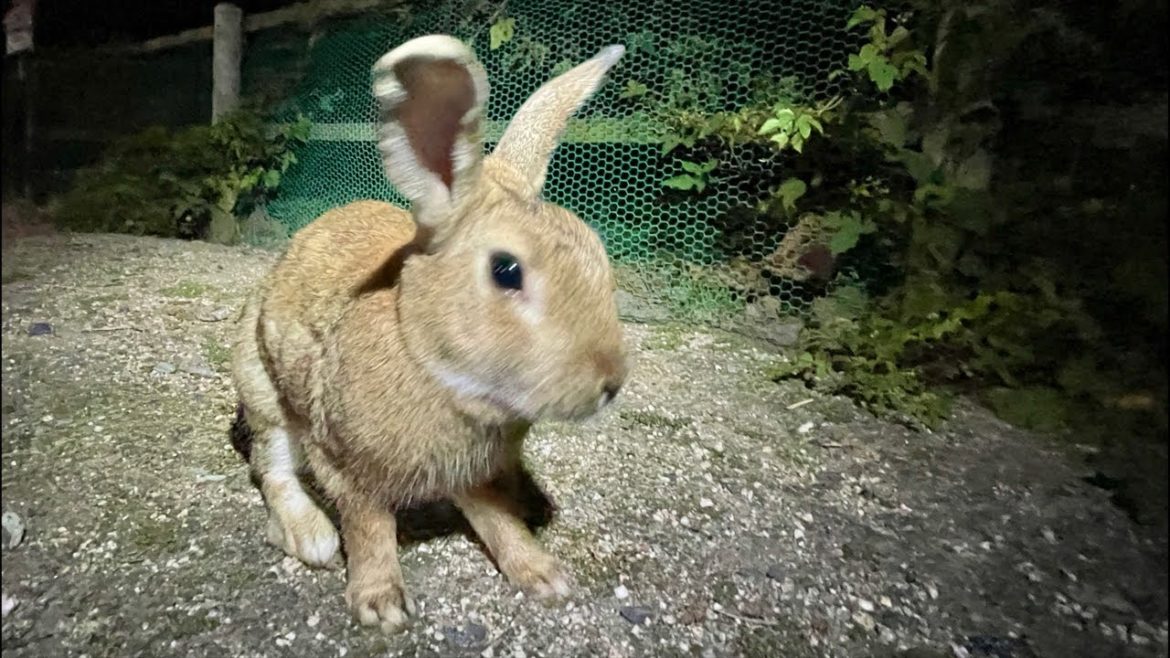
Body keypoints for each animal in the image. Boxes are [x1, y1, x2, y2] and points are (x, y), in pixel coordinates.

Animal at [228, 34, 629, 633]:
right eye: (506, 270)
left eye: (597, 253)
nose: (611, 382)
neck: (428, 358)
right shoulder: (344, 462)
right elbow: (369, 527)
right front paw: (381, 606)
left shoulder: (475, 473)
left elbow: (496, 519)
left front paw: (543, 576)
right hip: (262, 389)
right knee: (272, 468)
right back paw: (310, 537)